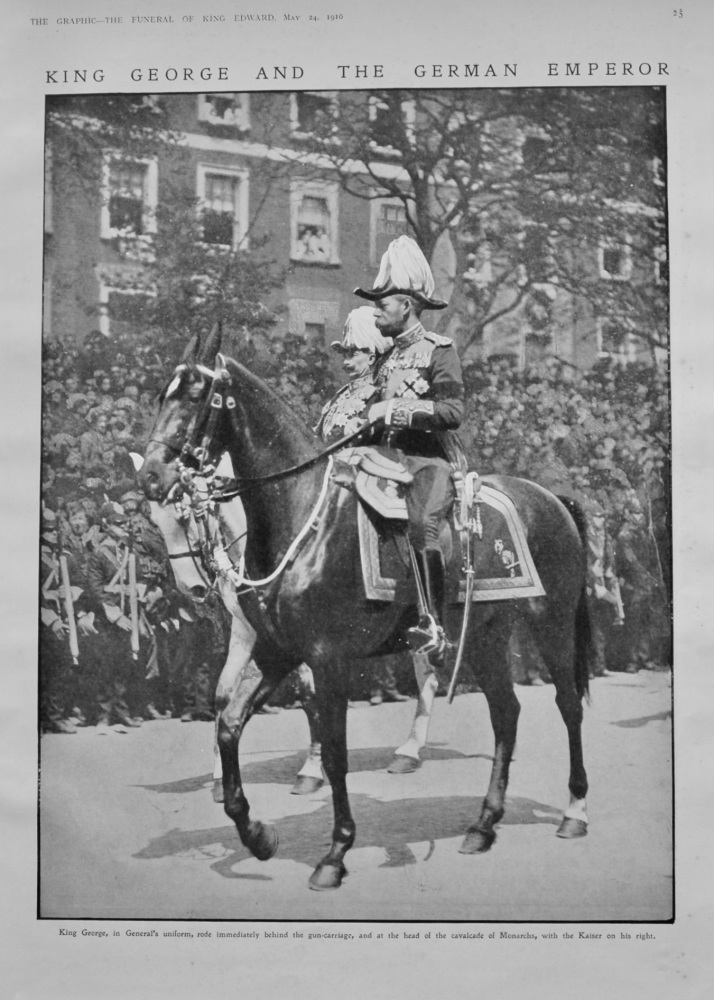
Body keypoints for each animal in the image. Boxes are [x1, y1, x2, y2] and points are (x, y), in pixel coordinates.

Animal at [140, 334, 588, 892]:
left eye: (196, 397)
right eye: (163, 394)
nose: (151, 475)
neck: (298, 516)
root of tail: (552, 499)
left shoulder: (327, 658)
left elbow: (335, 754)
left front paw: (335, 852)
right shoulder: (275, 651)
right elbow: (229, 721)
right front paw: (256, 833)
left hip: (553, 624)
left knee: (568, 706)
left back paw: (573, 811)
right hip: (485, 634)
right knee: (506, 713)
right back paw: (483, 825)